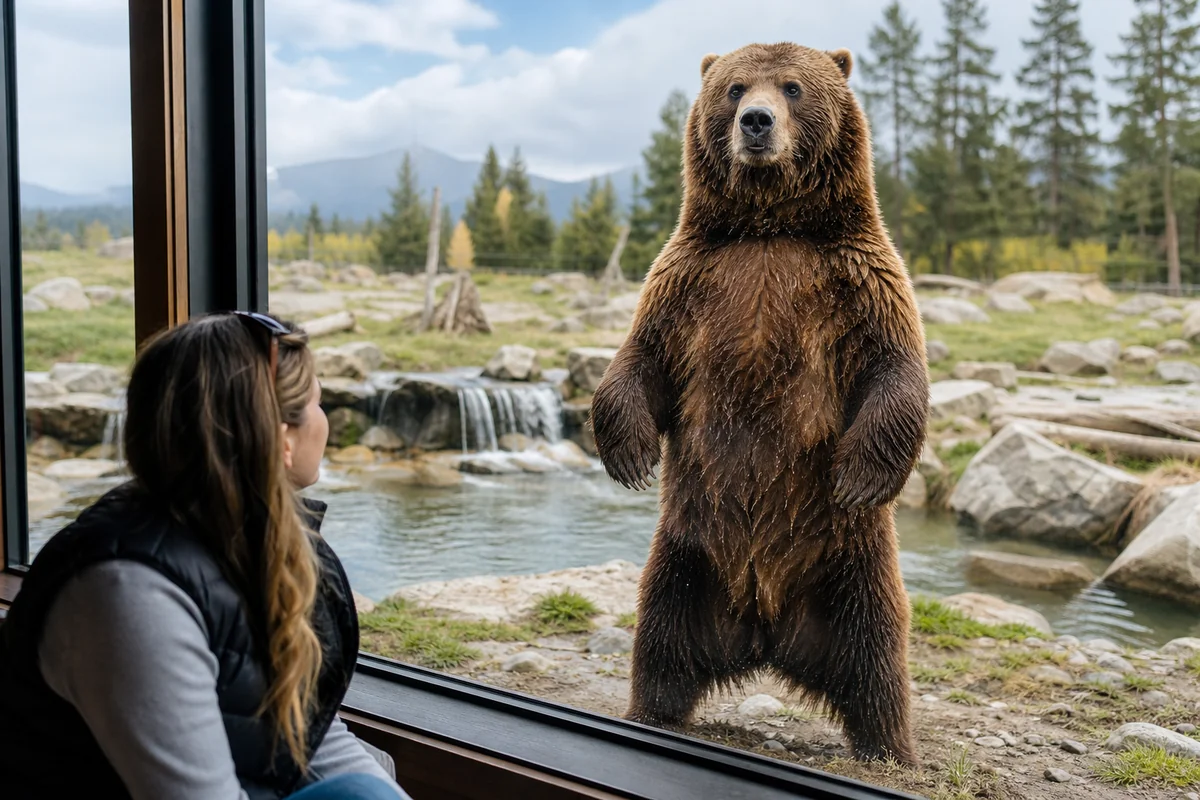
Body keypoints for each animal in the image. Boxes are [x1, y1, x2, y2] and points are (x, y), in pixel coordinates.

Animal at [589, 42, 928, 766]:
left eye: (794, 87)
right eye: (736, 87)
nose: (756, 122)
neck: (772, 226)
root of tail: (766, 631)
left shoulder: (857, 280)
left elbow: (894, 369)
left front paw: (860, 474)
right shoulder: (691, 280)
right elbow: (640, 359)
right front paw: (630, 456)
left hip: (851, 564)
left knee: (877, 651)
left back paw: (889, 747)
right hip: (688, 553)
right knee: (659, 634)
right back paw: (650, 711)